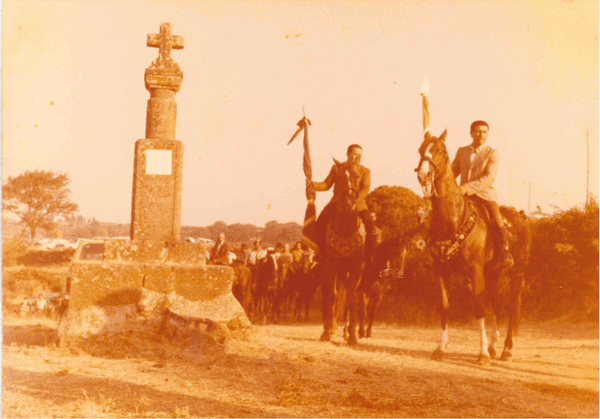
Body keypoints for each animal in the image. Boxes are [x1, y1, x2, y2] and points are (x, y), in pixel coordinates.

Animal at [318, 161, 366, 348]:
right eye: (339, 178)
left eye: (356, 176)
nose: (349, 202)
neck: (345, 226)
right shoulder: (330, 264)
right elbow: (332, 296)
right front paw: (326, 333)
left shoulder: (356, 266)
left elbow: (351, 299)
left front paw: (352, 336)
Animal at [418, 130, 528, 364]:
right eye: (421, 150)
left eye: (441, 150)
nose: (423, 175)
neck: (453, 217)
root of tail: (521, 217)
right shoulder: (441, 271)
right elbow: (444, 307)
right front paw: (440, 349)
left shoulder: (476, 272)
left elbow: (479, 309)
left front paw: (482, 353)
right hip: (494, 275)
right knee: (497, 308)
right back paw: (495, 347)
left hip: (516, 275)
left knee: (511, 310)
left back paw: (506, 349)